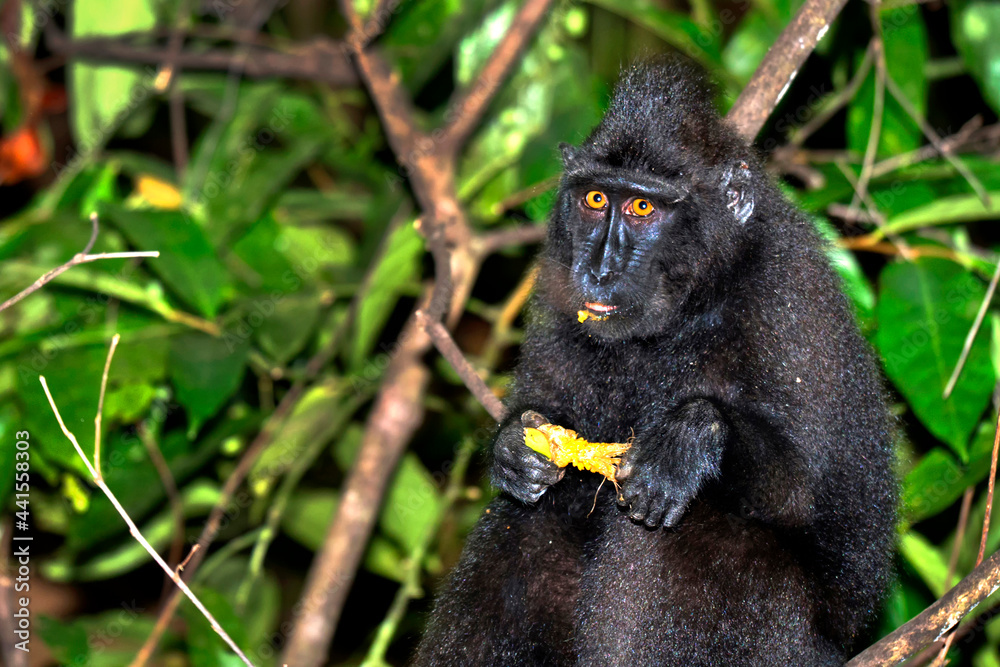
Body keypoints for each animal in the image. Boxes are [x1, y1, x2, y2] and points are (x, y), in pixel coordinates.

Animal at [412, 58, 896, 667]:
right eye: (596, 200)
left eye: (643, 207)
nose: (598, 270)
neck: (689, 310)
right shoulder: (556, 291)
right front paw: (513, 448)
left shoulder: (788, 305)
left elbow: (809, 503)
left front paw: (691, 436)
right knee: (526, 519)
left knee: (703, 525)